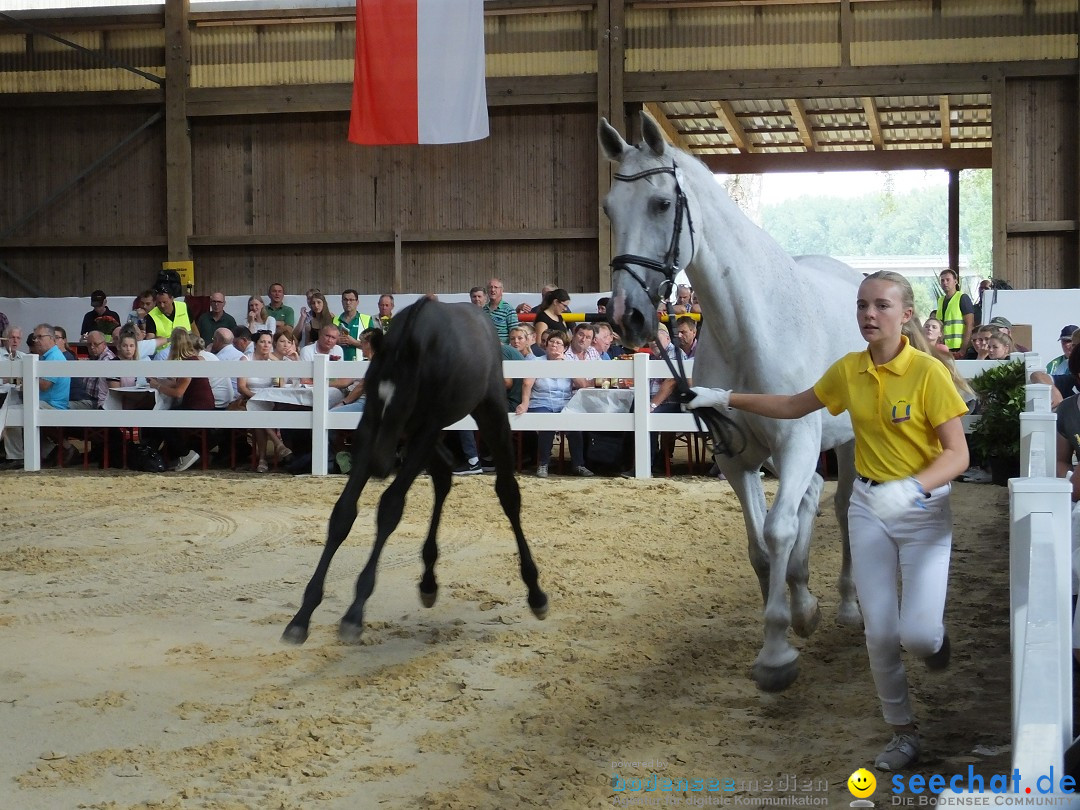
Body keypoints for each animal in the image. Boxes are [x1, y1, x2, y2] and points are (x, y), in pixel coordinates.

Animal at [604, 112, 864, 691]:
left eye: (661, 204)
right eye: (609, 208)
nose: (627, 316)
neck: (749, 323)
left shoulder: (795, 441)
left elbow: (778, 529)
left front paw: (777, 654)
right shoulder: (737, 456)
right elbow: (760, 549)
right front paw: (787, 623)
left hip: (850, 443)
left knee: (840, 505)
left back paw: (847, 606)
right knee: (812, 496)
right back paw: (806, 598)